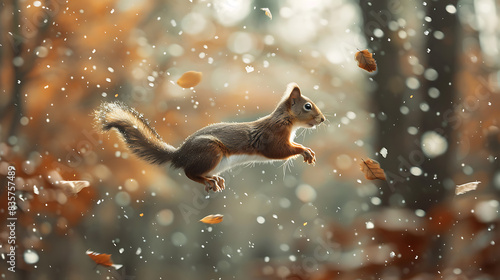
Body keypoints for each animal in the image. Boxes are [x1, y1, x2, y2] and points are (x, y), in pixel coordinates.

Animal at [95, 82, 326, 192]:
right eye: (308, 106)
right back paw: (208, 181)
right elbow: (281, 151)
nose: (323, 119)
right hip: (210, 152)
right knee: (189, 173)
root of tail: (179, 154)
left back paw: (214, 178)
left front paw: (307, 150)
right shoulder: (272, 138)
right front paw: (304, 151)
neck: (286, 120)